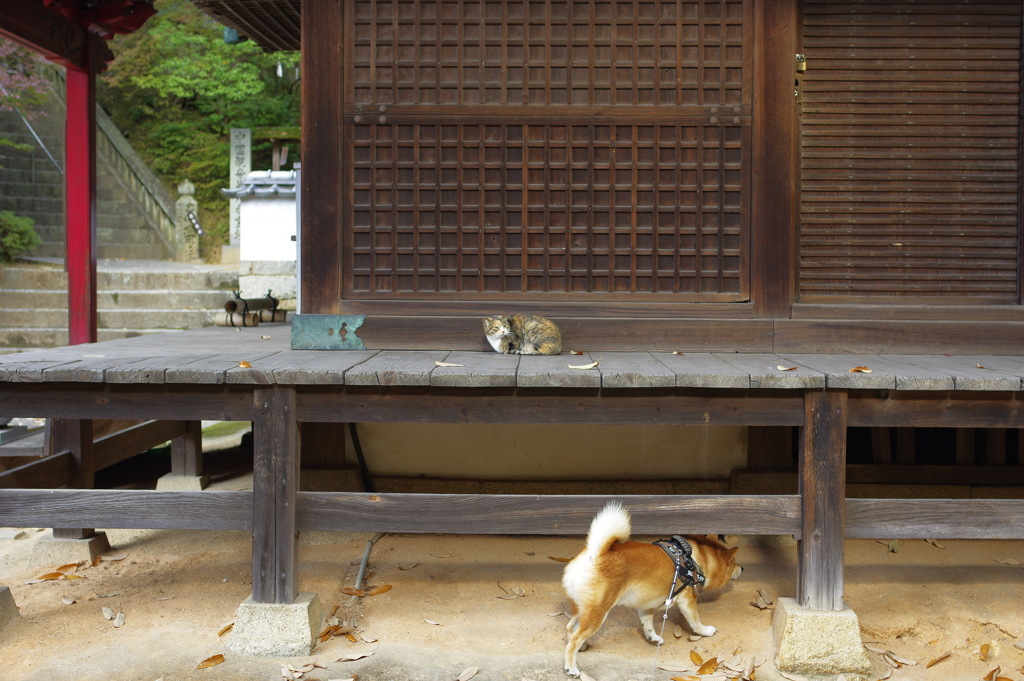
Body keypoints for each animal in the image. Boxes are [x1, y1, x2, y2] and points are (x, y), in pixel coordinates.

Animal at [561, 501, 745, 675]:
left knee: (571, 628)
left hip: (582, 609)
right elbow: (695, 622)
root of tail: (596, 553)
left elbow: (647, 624)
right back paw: (571, 668)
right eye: (734, 564)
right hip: (598, 613)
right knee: (575, 638)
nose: (742, 568)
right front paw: (705, 631)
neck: (695, 559)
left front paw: (654, 638)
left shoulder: (645, 604)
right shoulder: (688, 601)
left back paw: (582, 647)